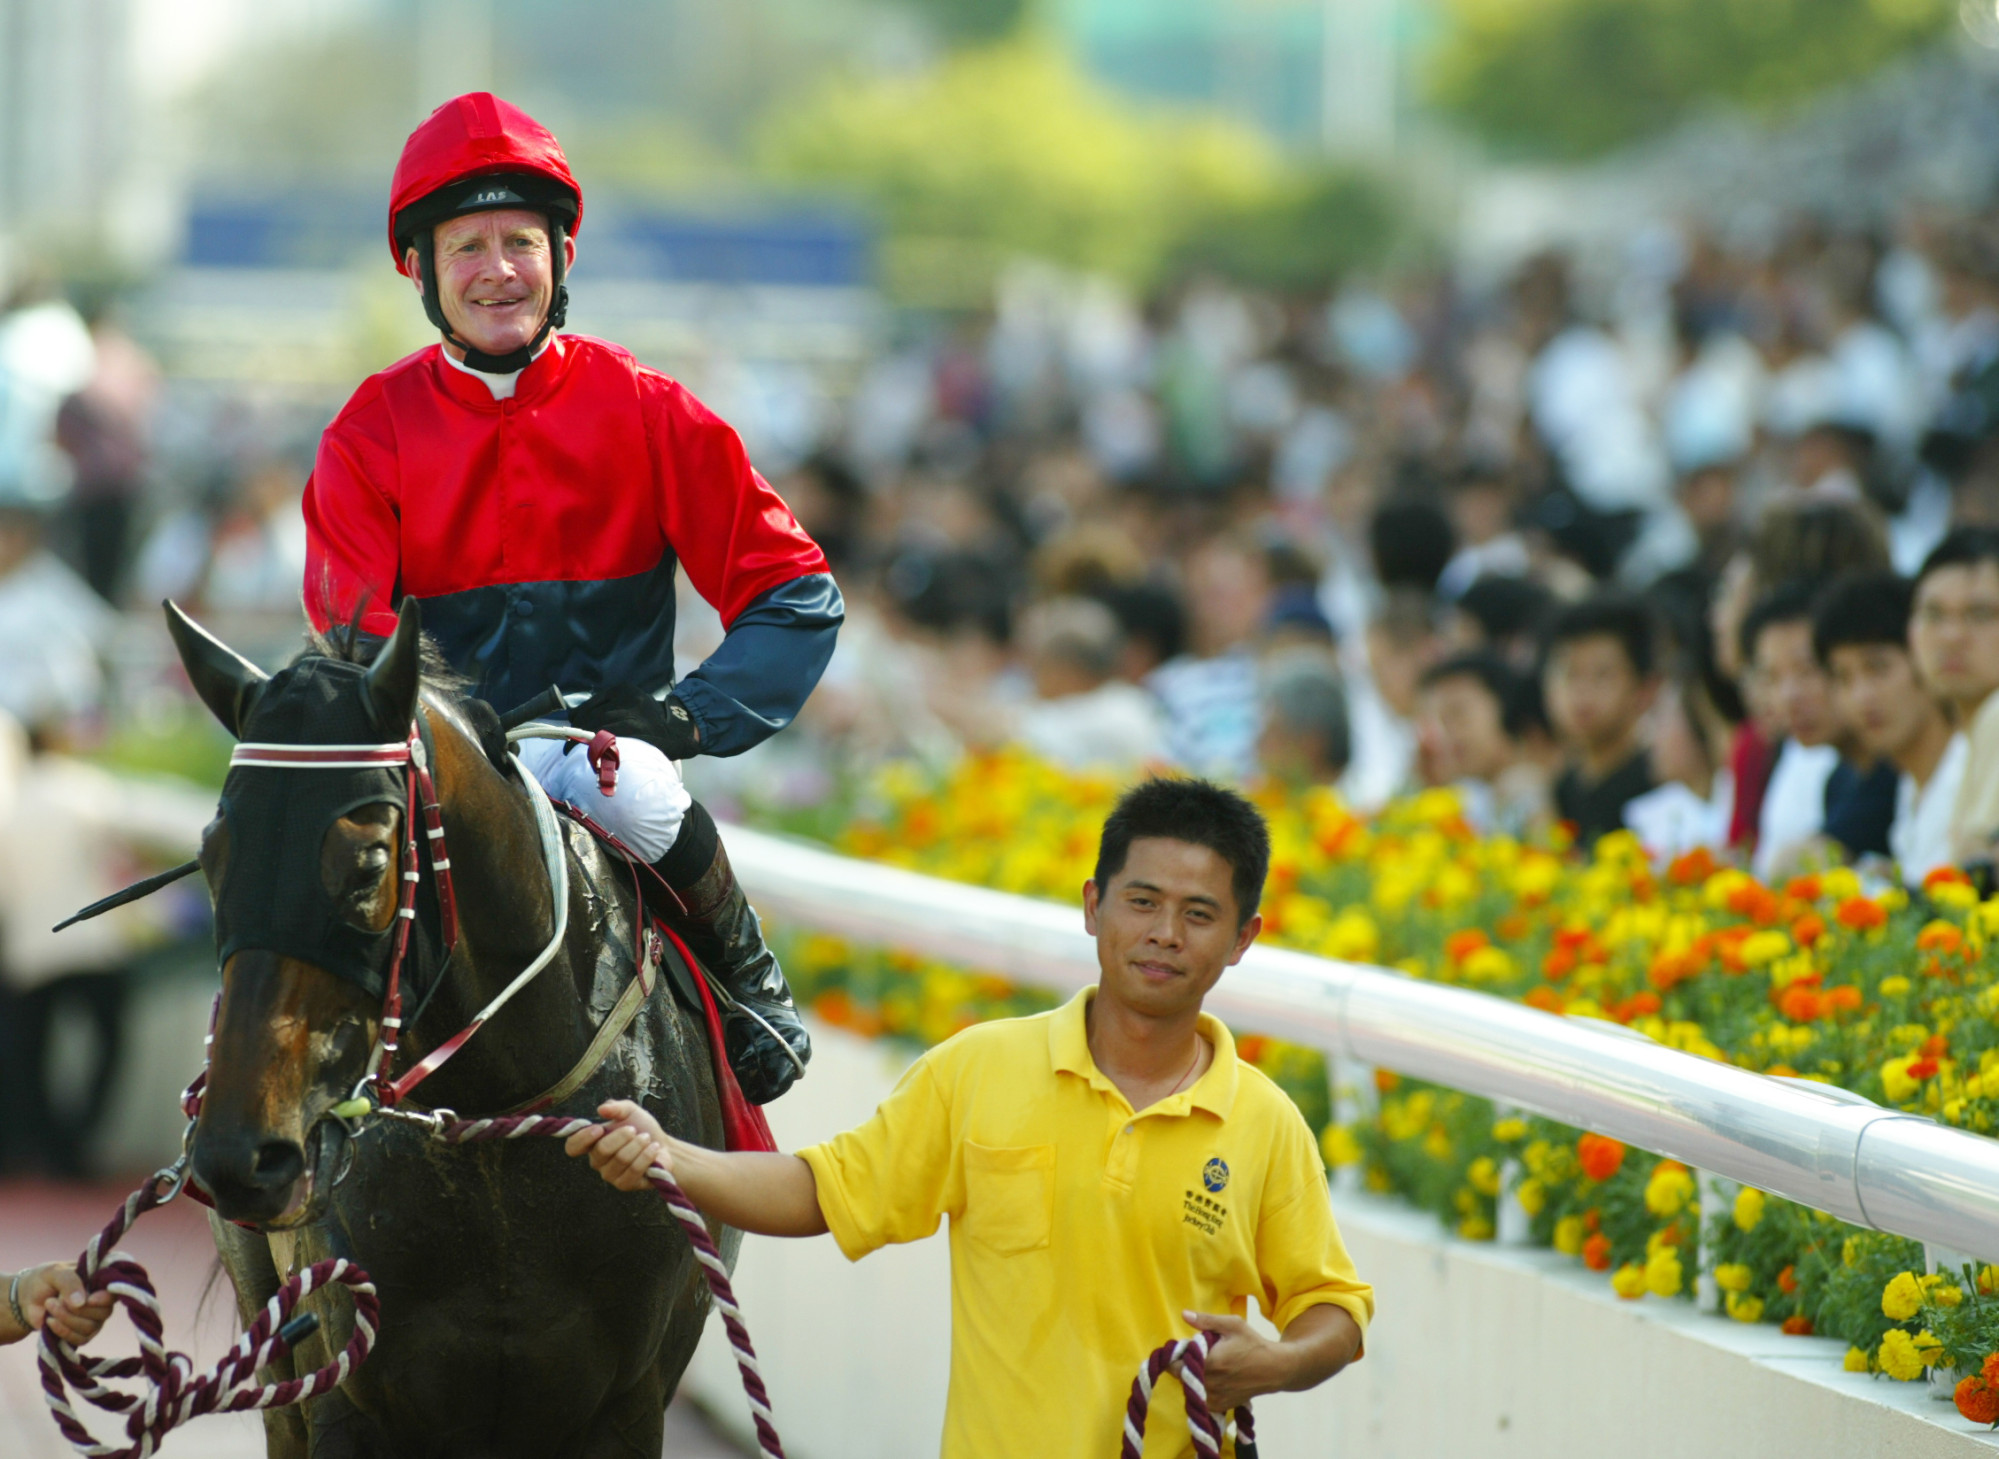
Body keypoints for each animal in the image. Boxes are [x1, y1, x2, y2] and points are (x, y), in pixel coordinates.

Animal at [163, 595, 727, 1447]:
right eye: (211, 853)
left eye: (368, 864)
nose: (239, 1150)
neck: (494, 1136)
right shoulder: (345, 1387)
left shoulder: (630, 1401)